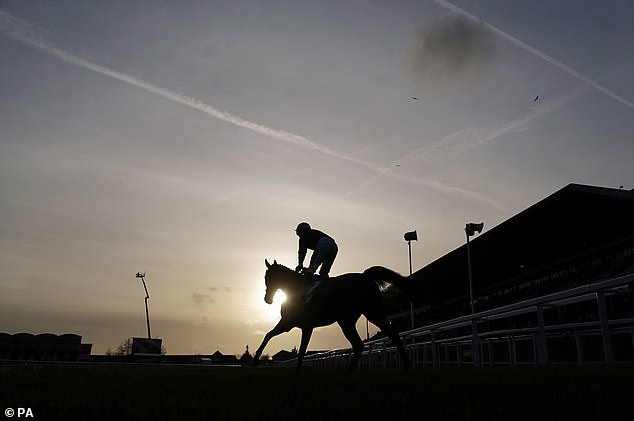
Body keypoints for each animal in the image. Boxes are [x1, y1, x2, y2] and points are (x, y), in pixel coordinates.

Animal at [252, 260, 414, 370]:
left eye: (269, 277)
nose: (267, 299)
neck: (295, 289)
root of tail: (364, 276)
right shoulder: (292, 324)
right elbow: (271, 336)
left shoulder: (297, 324)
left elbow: (298, 349)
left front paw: (255, 360)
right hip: (350, 319)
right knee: (364, 342)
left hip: (371, 313)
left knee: (384, 336)